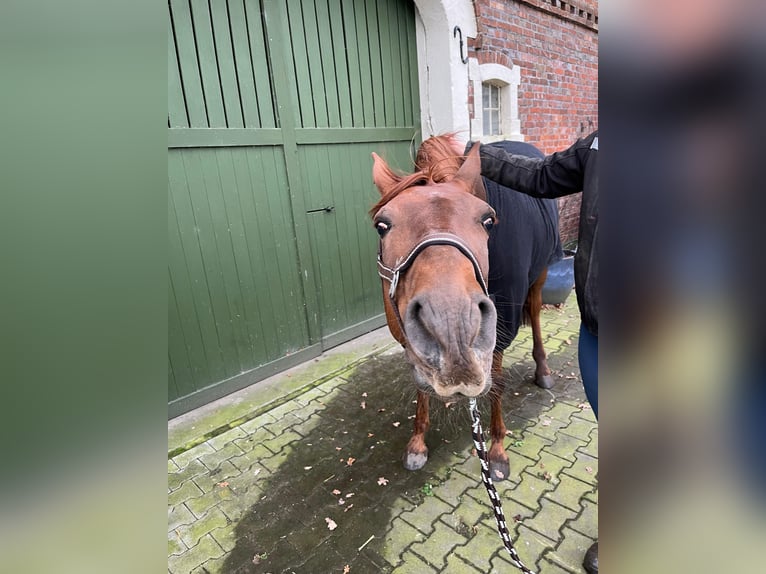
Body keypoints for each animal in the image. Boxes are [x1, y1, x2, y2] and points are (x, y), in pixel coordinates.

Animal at [372, 136, 564, 482]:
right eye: (382, 225)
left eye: (488, 220)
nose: (453, 329)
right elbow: (420, 386)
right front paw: (417, 442)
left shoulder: (500, 328)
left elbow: (496, 383)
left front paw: (497, 450)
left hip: (540, 274)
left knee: (536, 315)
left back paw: (542, 370)